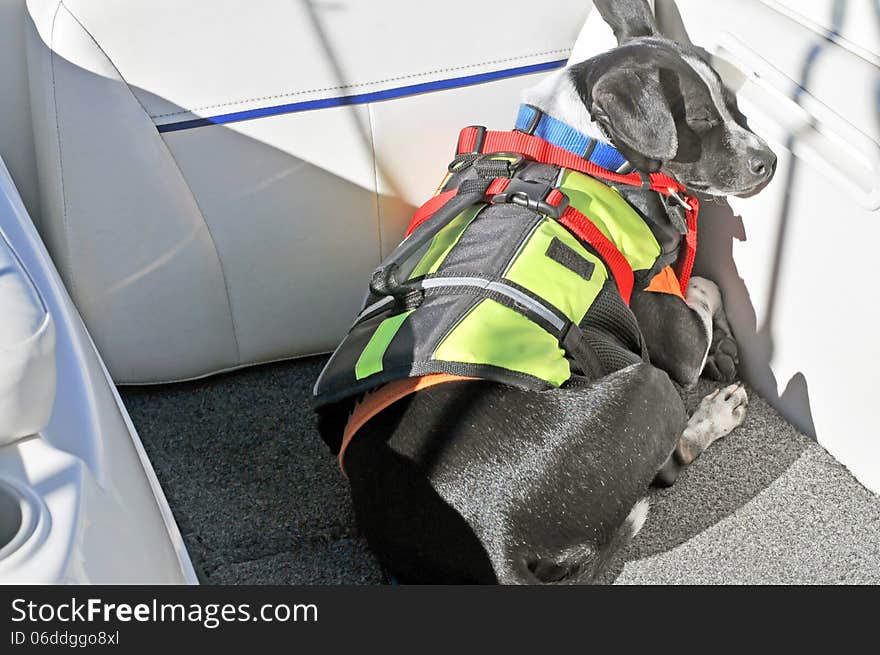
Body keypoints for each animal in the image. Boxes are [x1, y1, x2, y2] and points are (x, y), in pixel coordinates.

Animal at [314, 0, 776, 584]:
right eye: (700, 120)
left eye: (736, 107)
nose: (771, 162)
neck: (586, 146)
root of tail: (495, 540)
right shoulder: (671, 338)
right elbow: (704, 285)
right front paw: (720, 338)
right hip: (650, 385)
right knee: (667, 466)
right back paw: (717, 415)